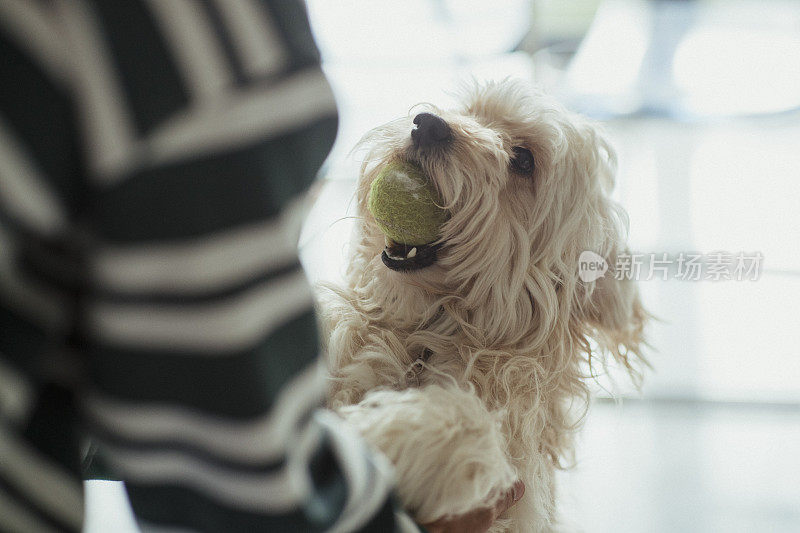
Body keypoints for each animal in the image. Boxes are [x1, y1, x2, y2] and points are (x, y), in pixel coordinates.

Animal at [316, 80, 648, 532]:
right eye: (471, 113)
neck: (424, 336)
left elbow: (476, 423)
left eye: (523, 160)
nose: (427, 124)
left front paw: (393, 433)